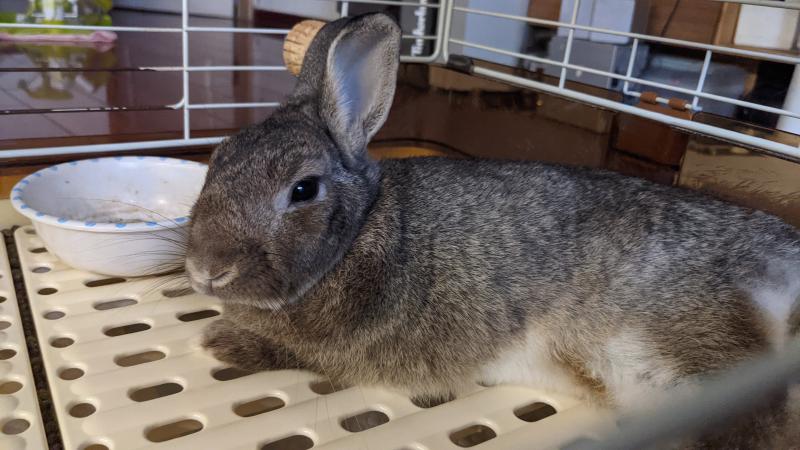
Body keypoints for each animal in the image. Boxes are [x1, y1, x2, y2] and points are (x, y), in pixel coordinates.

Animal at [185, 13, 800, 449]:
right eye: (217, 159)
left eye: (304, 190)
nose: (205, 270)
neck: (362, 230)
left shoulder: (337, 349)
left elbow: (288, 351)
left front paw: (217, 341)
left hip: (690, 352)